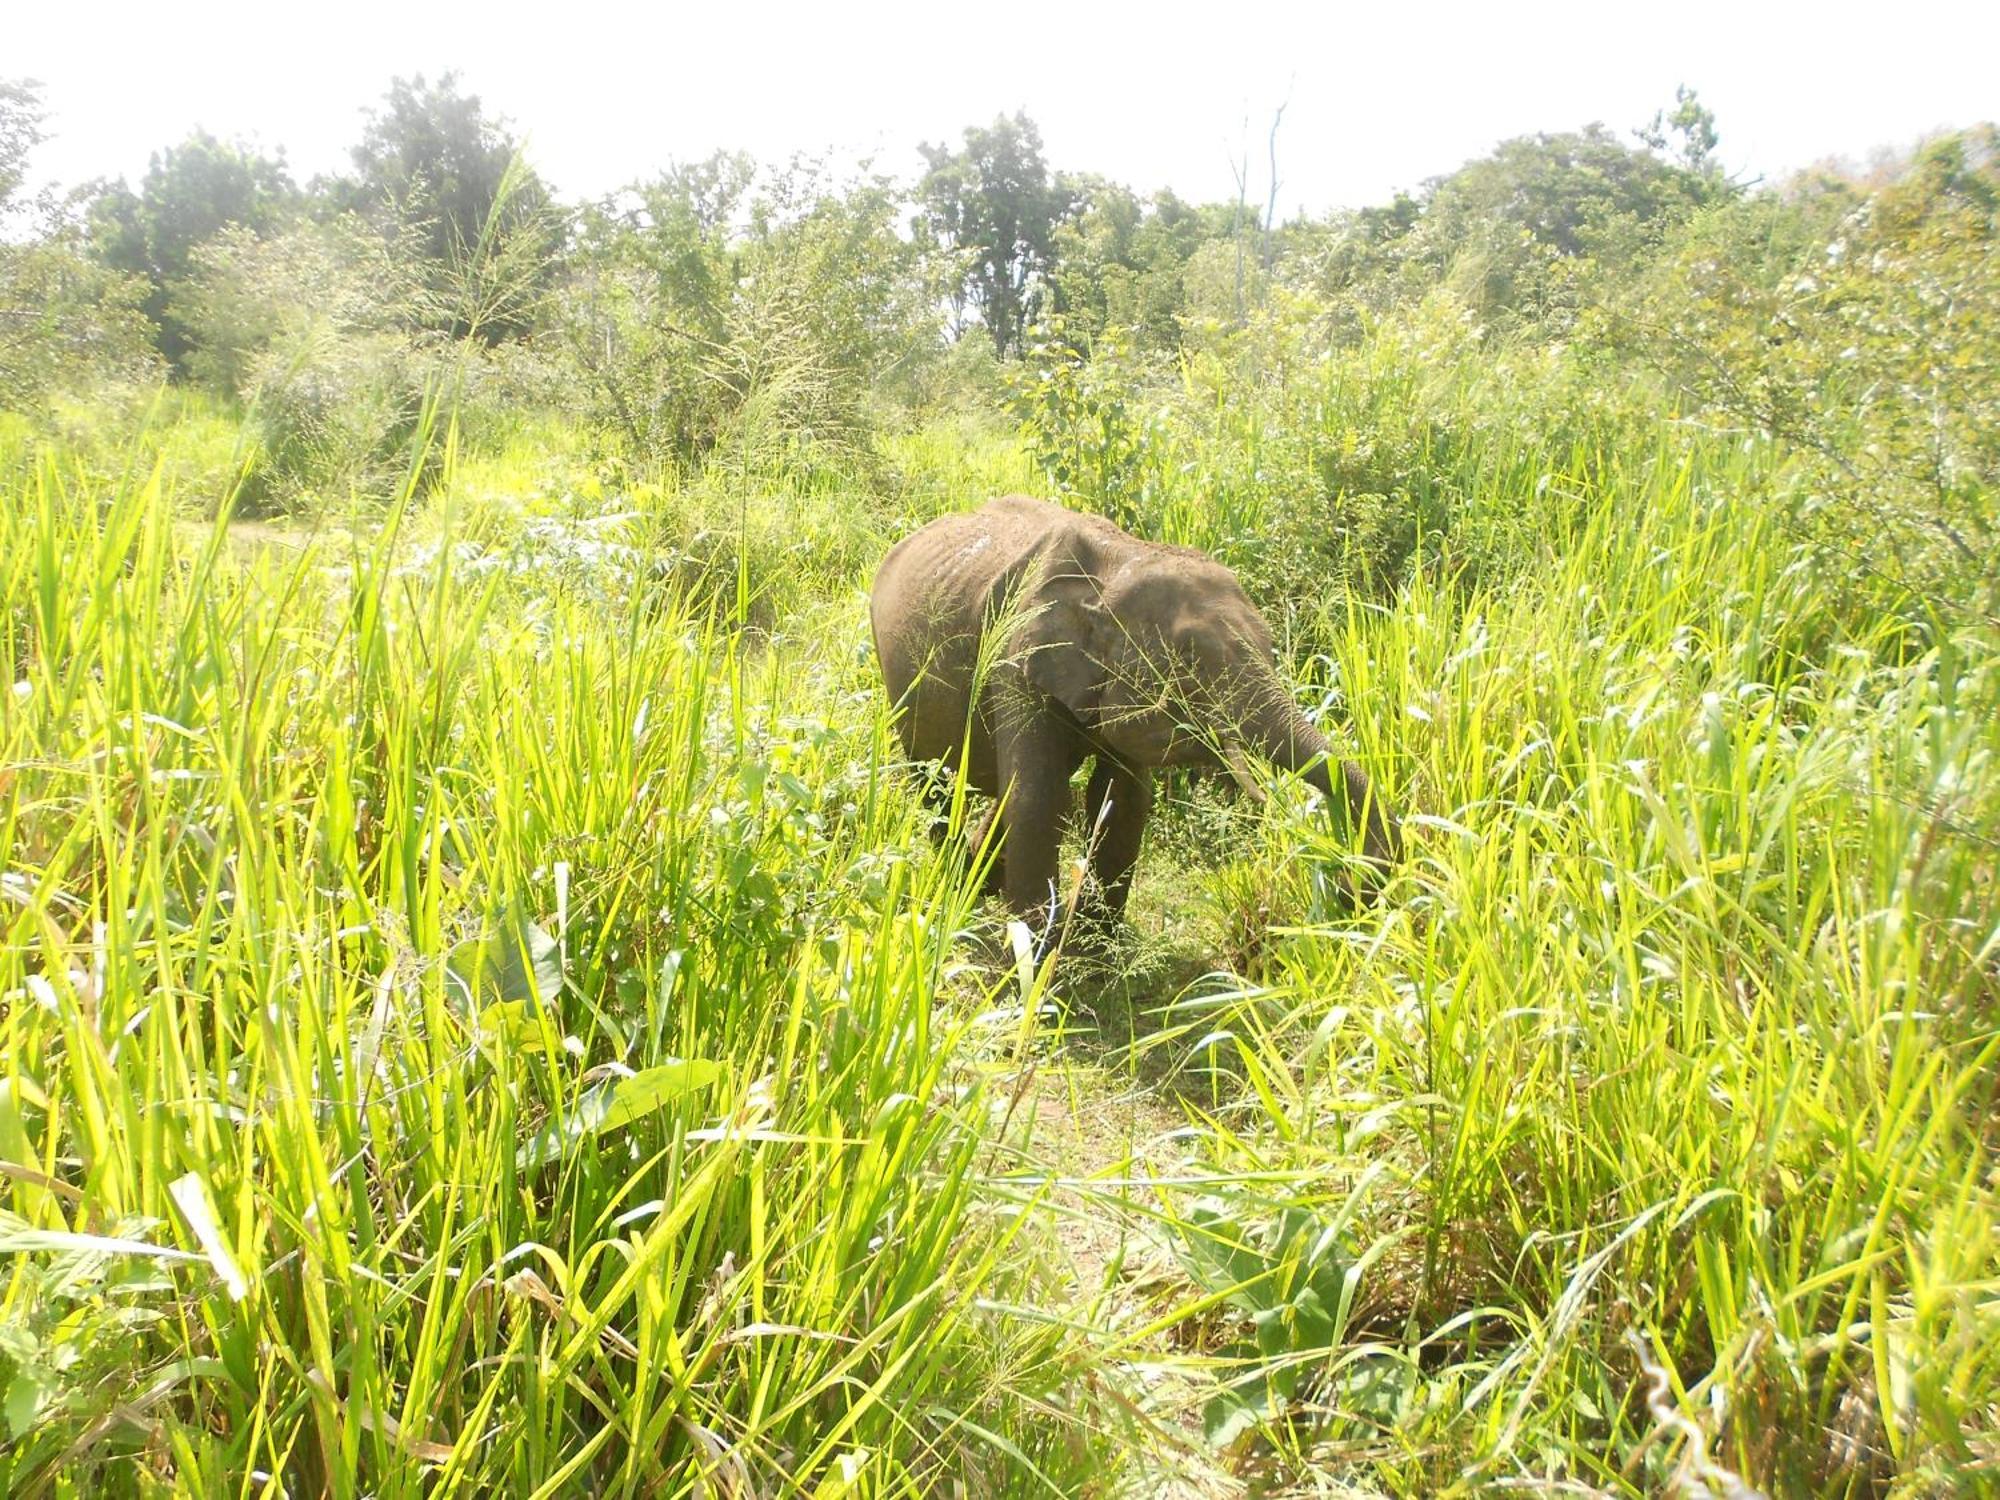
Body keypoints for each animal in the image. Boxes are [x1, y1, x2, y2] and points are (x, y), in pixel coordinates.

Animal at [868, 496, 1400, 928]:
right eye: (1187, 661)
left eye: (1270, 645)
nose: (1350, 885)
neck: (1122, 558)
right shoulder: (1016, 654)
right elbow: (1038, 797)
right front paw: (1035, 968)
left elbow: (1123, 799)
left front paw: (1097, 951)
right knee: (935, 781)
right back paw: (956, 880)